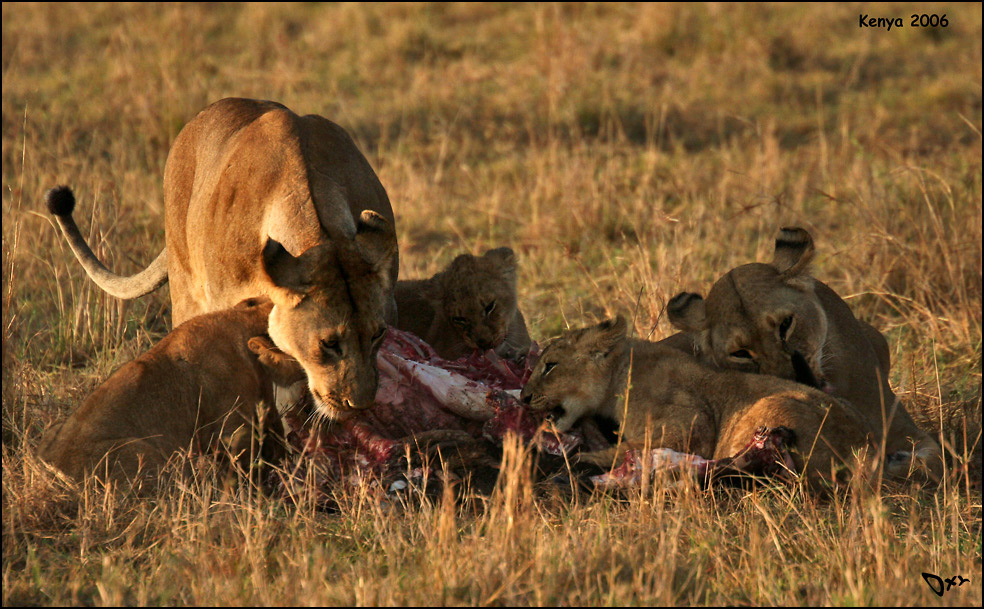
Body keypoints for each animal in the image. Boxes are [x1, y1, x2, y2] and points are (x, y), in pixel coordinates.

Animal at [520, 316, 885, 484]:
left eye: (550, 365)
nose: (523, 397)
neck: (619, 372)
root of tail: (867, 453)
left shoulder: (692, 426)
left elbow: (632, 447)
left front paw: (580, 458)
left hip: (759, 416)